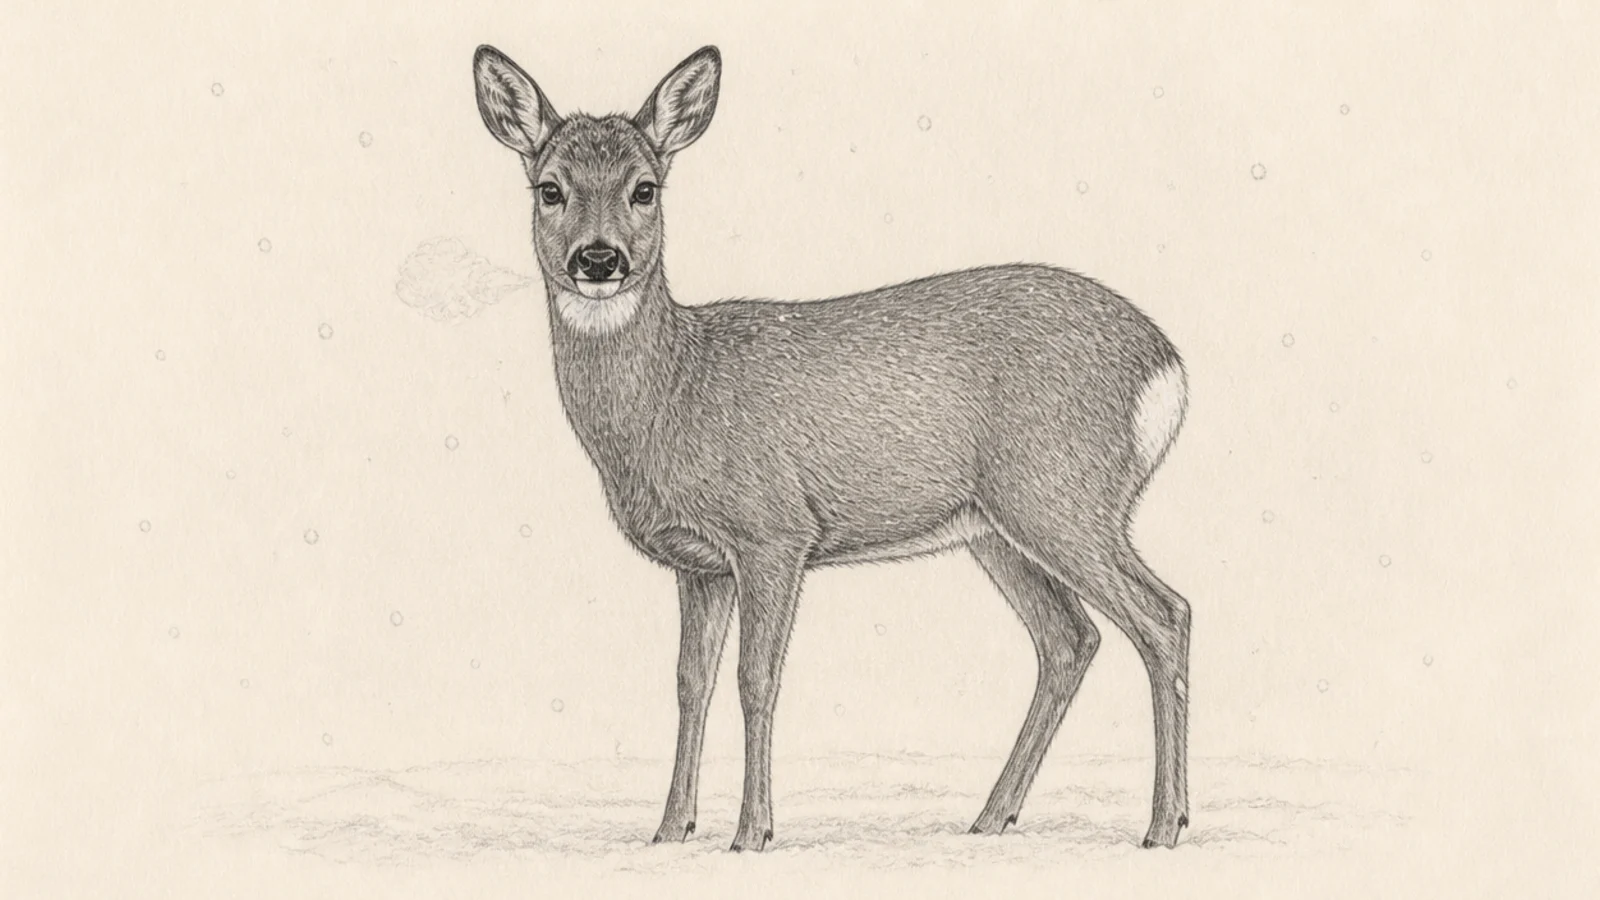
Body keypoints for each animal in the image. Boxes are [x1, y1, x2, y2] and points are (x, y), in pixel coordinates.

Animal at [471, 43, 1195, 852]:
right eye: (550, 189)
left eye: (645, 189)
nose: (599, 260)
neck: (676, 391)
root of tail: (1164, 367)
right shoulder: (700, 564)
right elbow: (690, 684)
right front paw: (670, 830)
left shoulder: (774, 532)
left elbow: (756, 681)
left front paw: (751, 834)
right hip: (997, 526)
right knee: (1071, 639)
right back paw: (990, 818)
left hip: (1062, 491)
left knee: (1165, 615)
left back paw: (1163, 826)